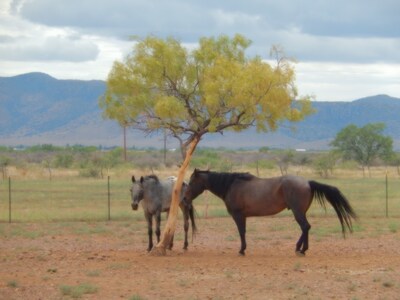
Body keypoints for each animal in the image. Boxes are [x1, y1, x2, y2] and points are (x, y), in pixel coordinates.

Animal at [184, 169, 356, 255]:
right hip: (301, 212)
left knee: (305, 227)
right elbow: (243, 232)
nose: (185, 198)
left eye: (191, 182)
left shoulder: (238, 215)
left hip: (297, 212)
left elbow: (241, 232)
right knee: (305, 228)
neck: (231, 185)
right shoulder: (243, 216)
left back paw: (302, 250)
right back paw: (298, 248)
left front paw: (242, 250)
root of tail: (307, 182)